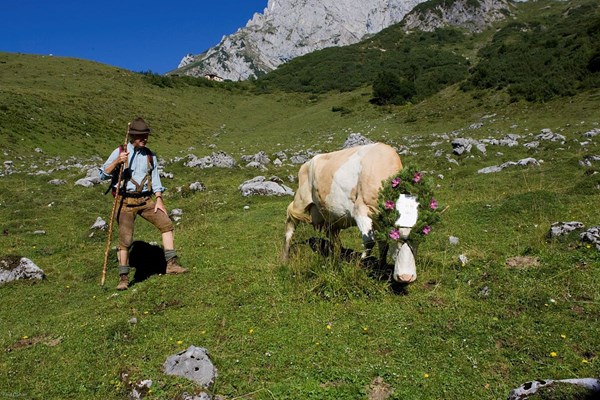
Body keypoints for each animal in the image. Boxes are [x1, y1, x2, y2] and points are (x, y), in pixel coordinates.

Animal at [284, 142, 420, 282]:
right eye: (396, 239)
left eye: (419, 241)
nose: (406, 277)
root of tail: (307, 163)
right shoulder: (360, 210)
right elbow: (370, 241)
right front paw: (360, 264)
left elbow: (383, 245)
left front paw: (381, 268)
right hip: (300, 201)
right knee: (290, 224)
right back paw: (284, 258)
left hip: (331, 214)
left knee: (333, 236)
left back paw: (335, 259)